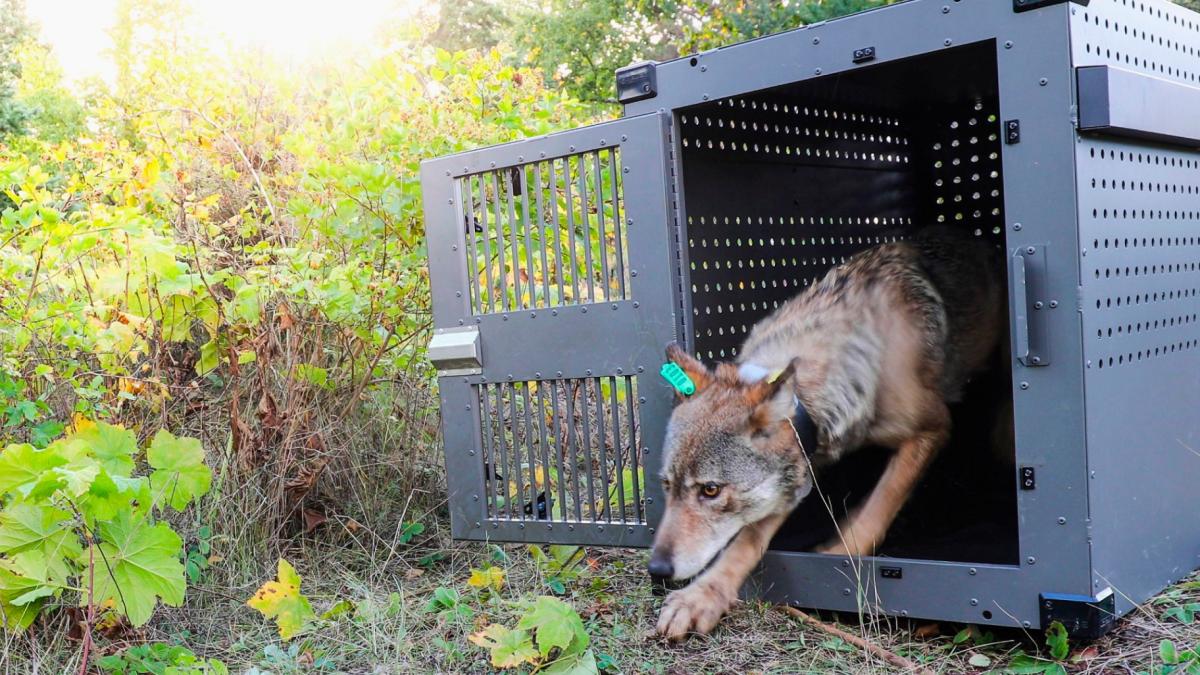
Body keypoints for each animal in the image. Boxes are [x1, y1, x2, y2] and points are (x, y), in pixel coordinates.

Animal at [648, 227, 1005, 640]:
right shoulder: (800, 466)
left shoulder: (933, 427)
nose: (656, 570)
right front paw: (701, 597)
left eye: (710, 490)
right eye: (667, 486)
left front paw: (838, 555)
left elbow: (881, 503)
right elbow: (746, 540)